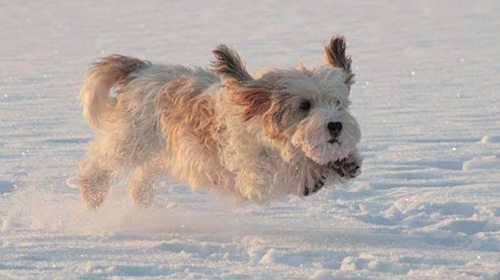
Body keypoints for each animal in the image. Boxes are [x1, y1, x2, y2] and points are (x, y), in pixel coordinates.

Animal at [78, 35, 362, 210]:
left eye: (337, 102)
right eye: (304, 105)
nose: (335, 125)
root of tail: (142, 70)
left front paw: (344, 162)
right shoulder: (253, 174)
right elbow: (284, 170)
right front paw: (311, 172)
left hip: (161, 148)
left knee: (143, 172)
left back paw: (141, 197)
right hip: (131, 138)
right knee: (99, 162)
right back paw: (93, 193)